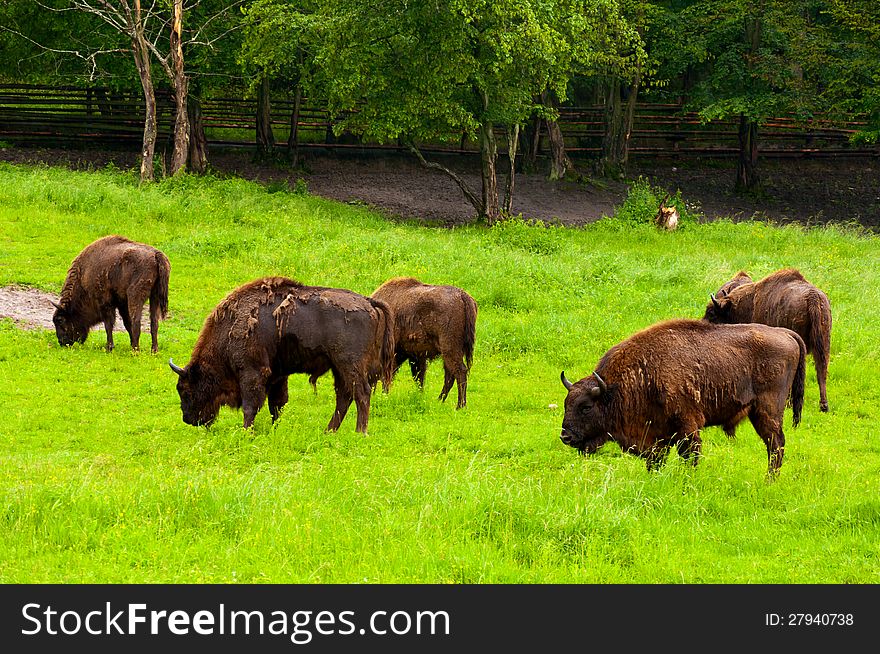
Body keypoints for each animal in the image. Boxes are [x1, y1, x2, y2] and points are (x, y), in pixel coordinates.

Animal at [169, 276, 396, 436]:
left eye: (186, 390)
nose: (187, 418)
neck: (229, 328)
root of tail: (368, 302)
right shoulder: (277, 376)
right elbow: (276, 405)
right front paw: (274, 430)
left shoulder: (252, 373)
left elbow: (251, 406)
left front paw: (246, 433)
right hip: (338, 368)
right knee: (344, 397)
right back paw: (328, 431)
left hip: (349, 364)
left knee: (361, 394)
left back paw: (360, 432)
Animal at [372, 276, 482, 410]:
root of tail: (463, 296)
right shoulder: (416, 356)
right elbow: (419, 378)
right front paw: (419, 395)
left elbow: (388, 376)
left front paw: (384, 395)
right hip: (451, 351)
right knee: (450, 375)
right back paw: (439, 400)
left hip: (450, 349)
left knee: (460, 372)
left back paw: (460, 405)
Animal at [564, 320, 804, 476]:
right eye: (567, 404)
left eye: (586, 407)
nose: (565, 436)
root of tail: (786, 333)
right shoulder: (657, 436)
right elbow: (656, 461)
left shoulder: (687, 426)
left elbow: (689, 456)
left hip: (768, 411)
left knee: (775, 444)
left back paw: (769, 480)